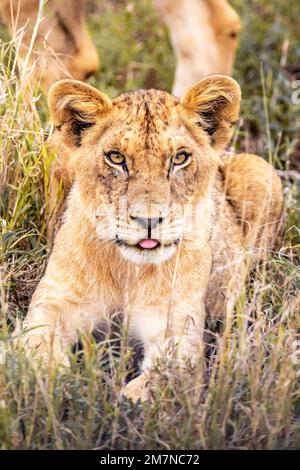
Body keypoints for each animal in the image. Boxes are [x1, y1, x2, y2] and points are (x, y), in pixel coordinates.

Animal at [16, 75, 284, 402]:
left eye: (179, 158)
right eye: (116, 158)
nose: (149, 221)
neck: (127, 272)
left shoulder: (178, 332)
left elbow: (153, 387)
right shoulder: (54, 303)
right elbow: (34, 350)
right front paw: (59, 386)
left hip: (261, 171)